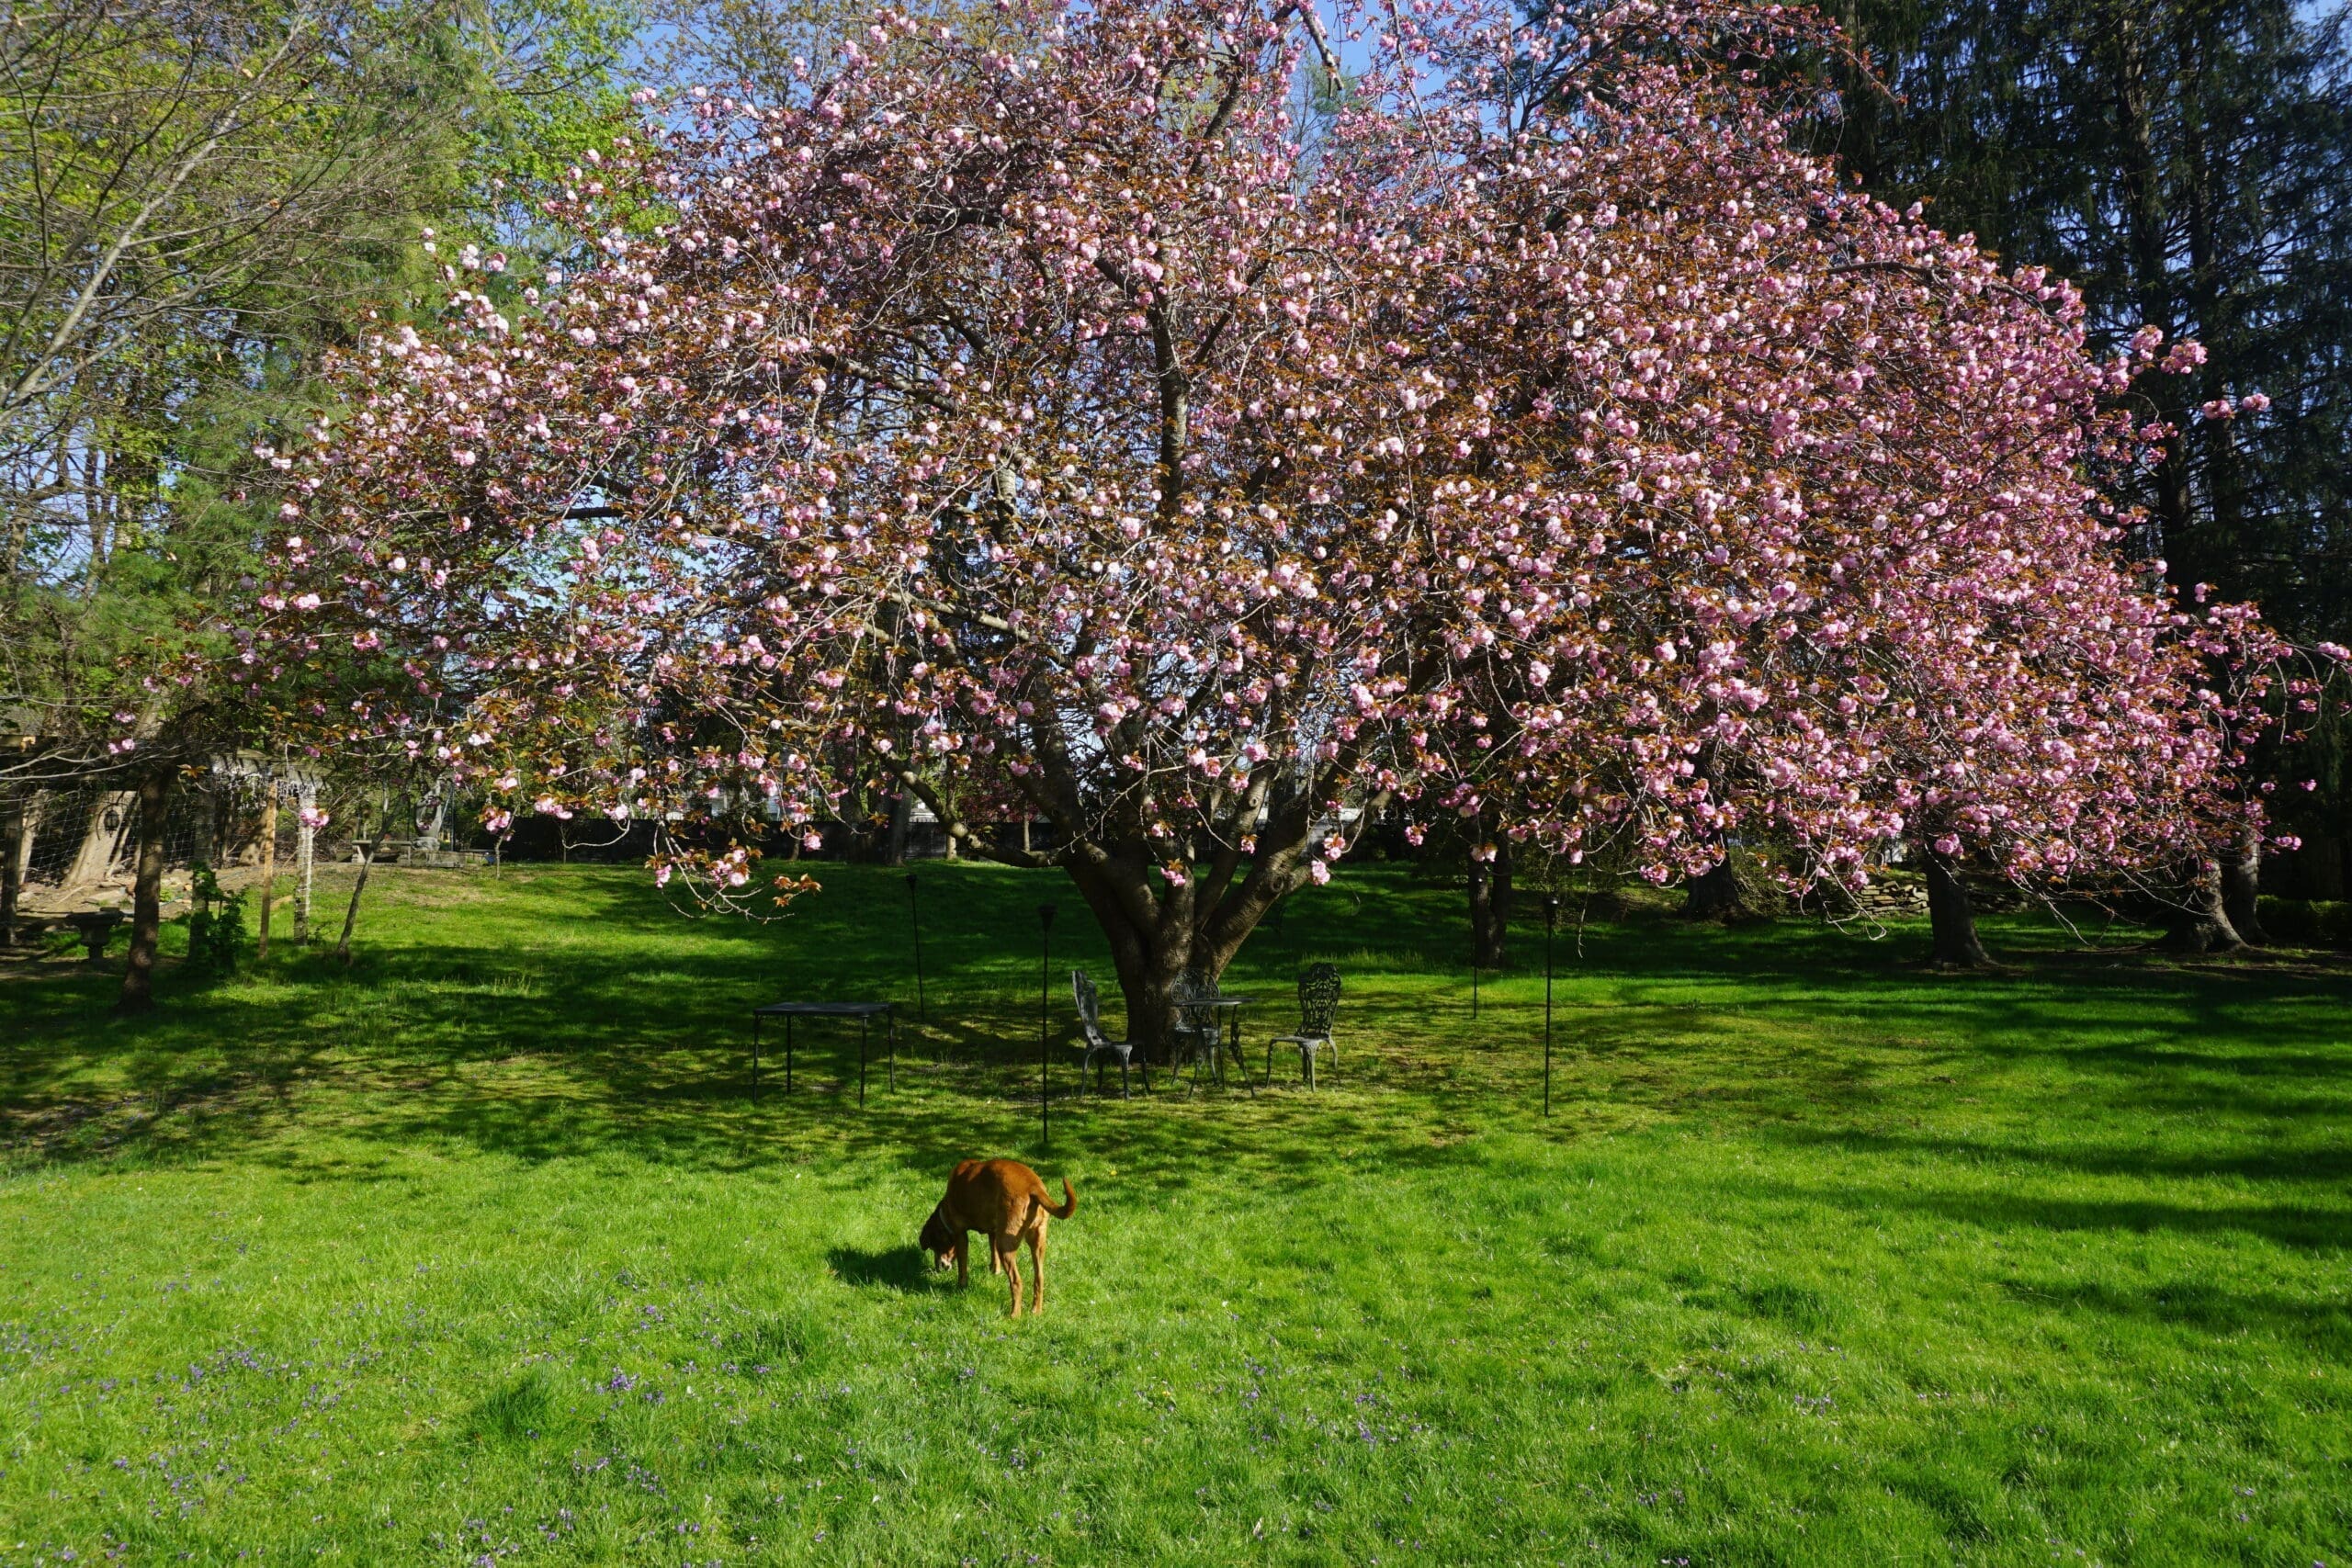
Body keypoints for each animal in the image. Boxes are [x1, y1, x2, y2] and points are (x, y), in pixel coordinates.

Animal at [922, 1161, 1077, 1316]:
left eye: (934, 1246)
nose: (938, 1268)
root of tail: (1034, 1186)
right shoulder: (994, 1231)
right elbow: (993, 1252)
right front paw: (994, 1271)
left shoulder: (961, 1235)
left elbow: (962, 1265)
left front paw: (961, 1285)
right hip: (1038, 1243)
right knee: (1039, 1278)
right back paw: (1036, 1311)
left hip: (1005, 1246)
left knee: (1016, 1282)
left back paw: (1014, 1315)